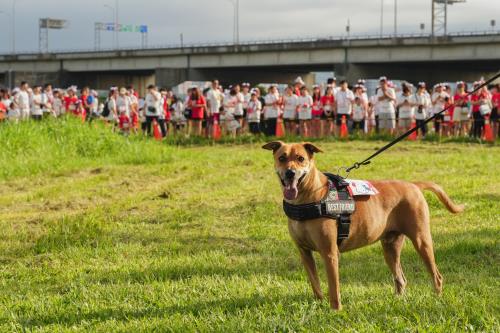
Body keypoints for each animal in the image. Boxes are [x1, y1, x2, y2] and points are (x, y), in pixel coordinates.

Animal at [264, 140, 462, 308]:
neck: (309, 197)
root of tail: (413, 185)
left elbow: (334, 288)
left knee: (437, 276)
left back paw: (437, 300)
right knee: (400, 278)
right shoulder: (304, 252)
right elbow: (315, 283)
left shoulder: (330, 253)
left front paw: (335, 310)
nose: (290, 173)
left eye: (301, 158)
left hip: (421, 240)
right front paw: (319, 304)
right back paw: (398, 300)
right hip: (390, 246)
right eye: (282, 158)